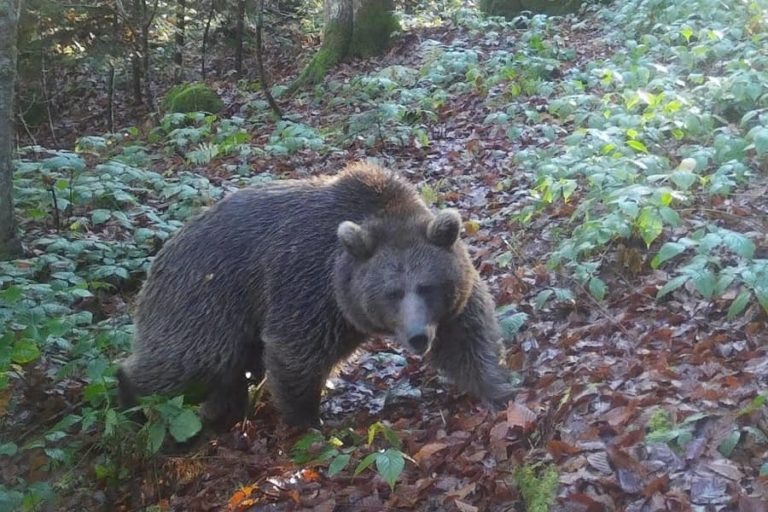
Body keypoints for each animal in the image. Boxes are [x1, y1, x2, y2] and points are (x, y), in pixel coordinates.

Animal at [117, 162, 514, 429]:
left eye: (427, 286)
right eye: (392, 292)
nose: (418, 337)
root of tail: (163, 251)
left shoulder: (447, 301)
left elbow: (466, 338)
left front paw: (498, 390)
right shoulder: (310, 288)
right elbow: (296, 353)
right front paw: (307, 420)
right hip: (206, 300)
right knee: (190, 361)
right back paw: (131, 400)